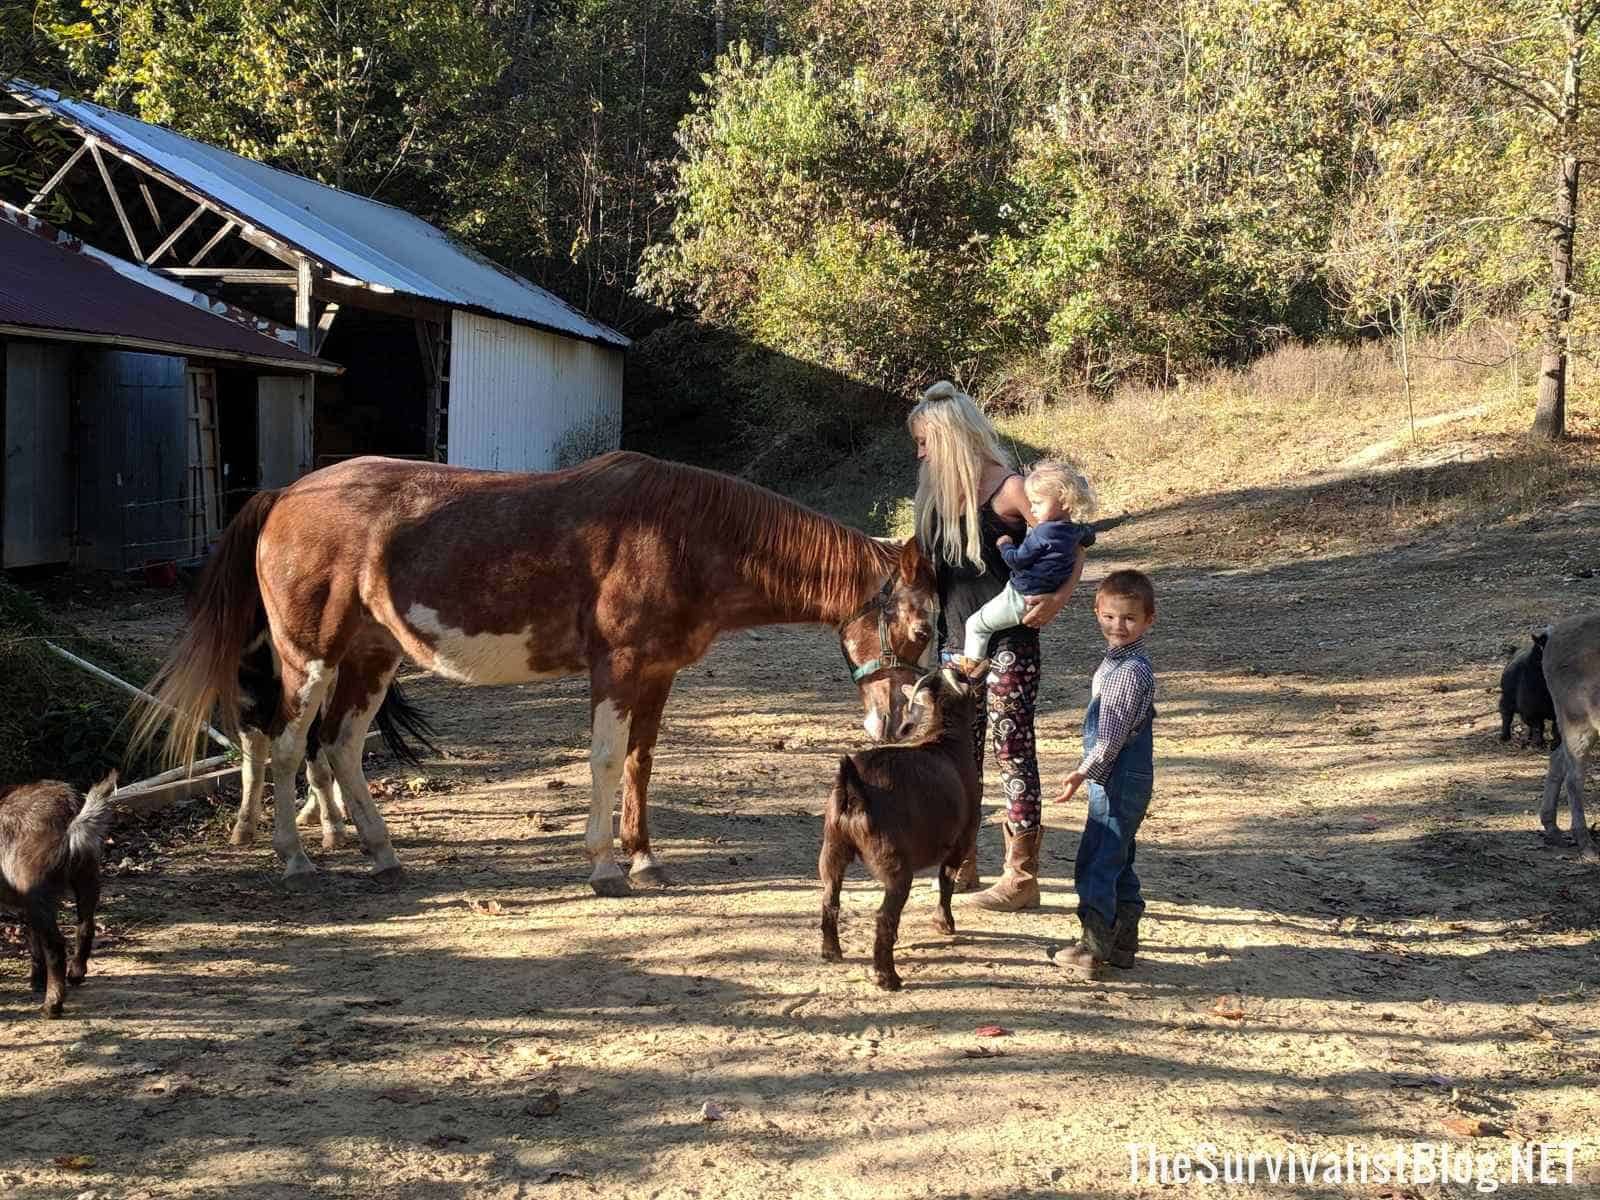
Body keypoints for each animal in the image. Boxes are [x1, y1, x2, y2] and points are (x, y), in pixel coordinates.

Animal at [0, 774, 116, 1017]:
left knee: (55, 947)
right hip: (86, 879)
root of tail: (69, 809)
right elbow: (34, 944)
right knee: (85, 927)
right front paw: (37, 980)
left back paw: (52, 1004)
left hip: (37, 895)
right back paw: (75, 974)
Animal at [137, 454, 940, 896]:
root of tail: (284, 496)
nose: (898, 720)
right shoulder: (617, 668)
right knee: (282, 743)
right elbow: (607, 761)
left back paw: (381, 852)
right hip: (309, 658)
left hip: (370, 658)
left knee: (338, 748)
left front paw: (643, 858)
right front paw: (602, 865)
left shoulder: (657, 675)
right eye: (924, 627)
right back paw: (294, 857)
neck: (685, 535)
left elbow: (641, 764)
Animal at [825, 662, 985, 992]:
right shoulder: (961, 839)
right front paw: (945, 924)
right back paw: (887, 977)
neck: (946, 737)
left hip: (833, 848)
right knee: (884, 916)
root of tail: (854, 788)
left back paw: (831, 952)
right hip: (896, 865)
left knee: (829, 899)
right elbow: (946, 881)